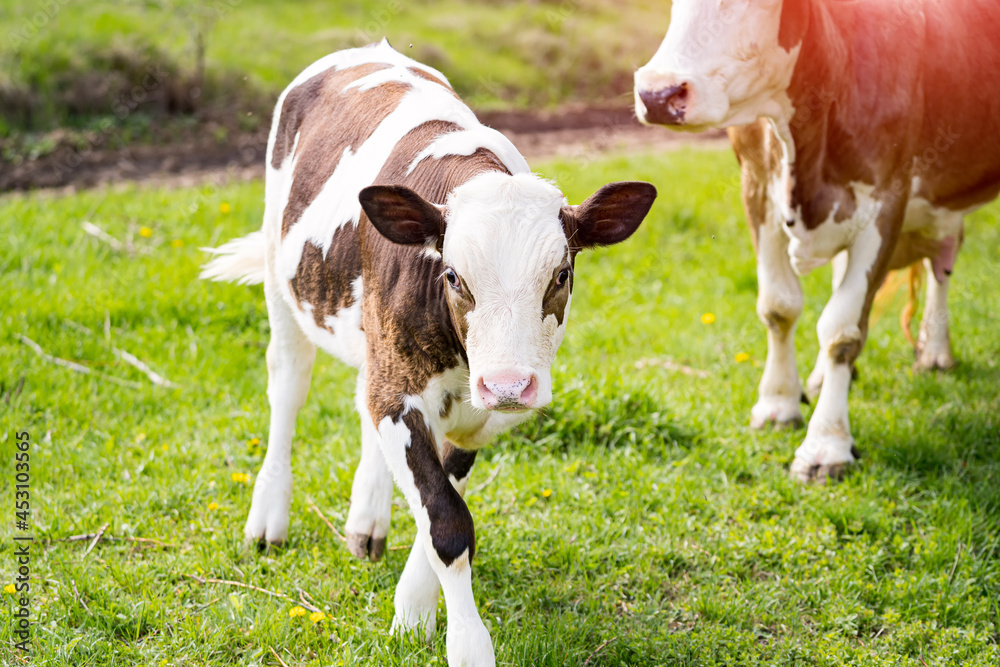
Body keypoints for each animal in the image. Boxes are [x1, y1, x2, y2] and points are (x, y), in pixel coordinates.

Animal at [632, 0, 1000, 480]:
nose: (657, 94)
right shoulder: (757, 186)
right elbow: (779, 307)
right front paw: (778, 404)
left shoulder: (886, 200)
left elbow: (842, 328)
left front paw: (827, 444)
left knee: (940, 264)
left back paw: (934, 353)